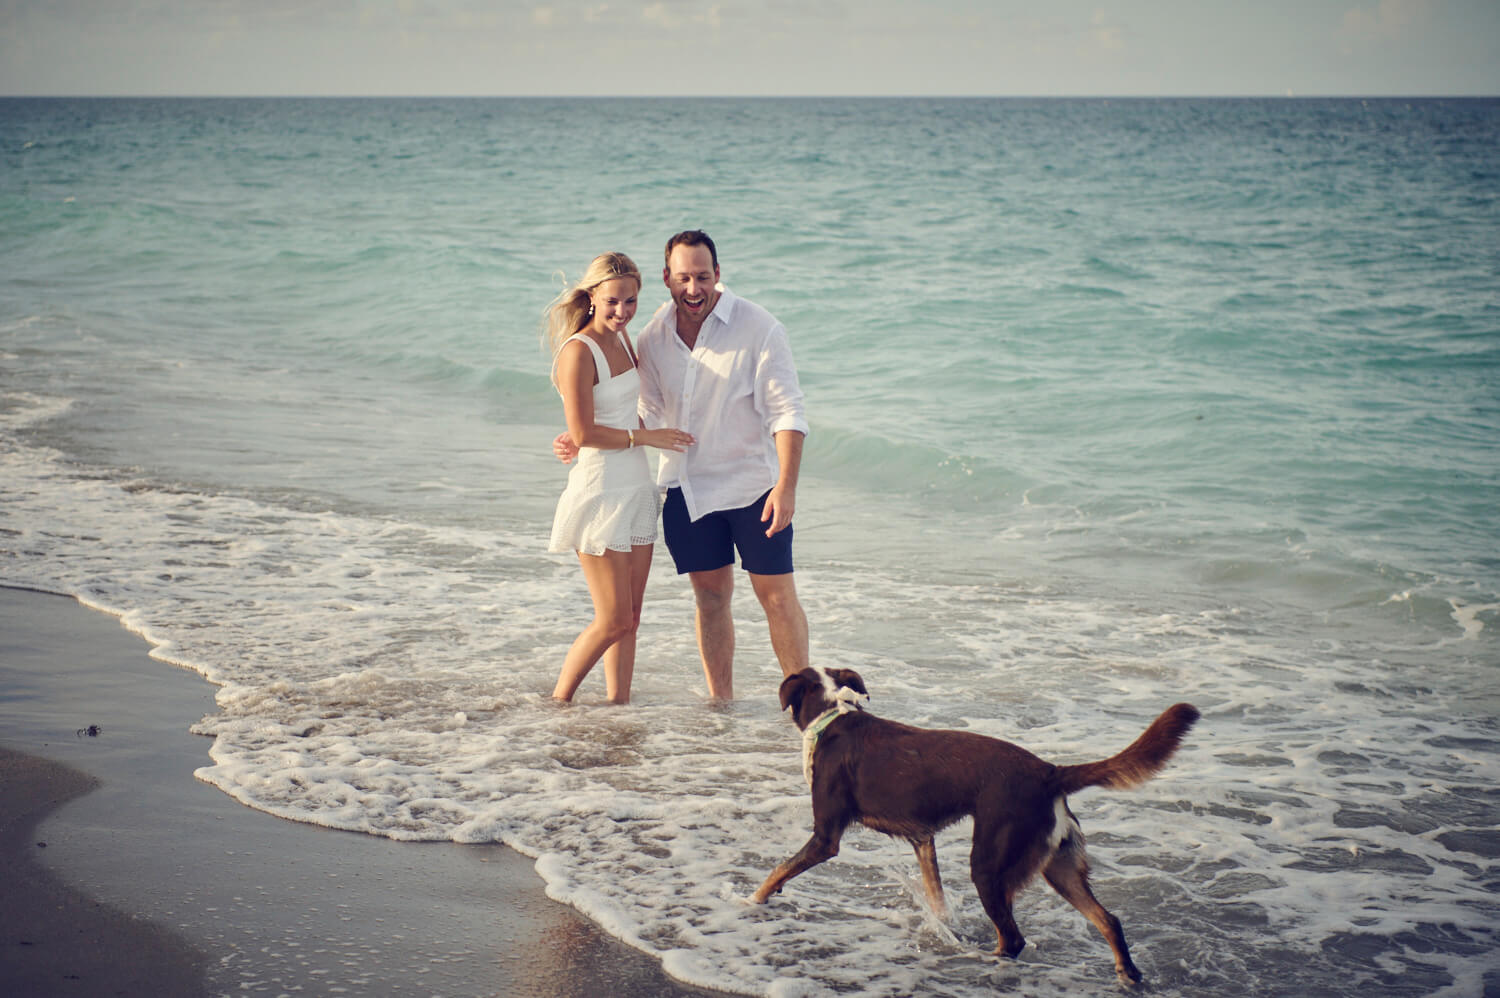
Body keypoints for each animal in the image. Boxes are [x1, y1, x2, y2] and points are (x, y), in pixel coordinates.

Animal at [756, 666, 1200, 984]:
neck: (833, 714)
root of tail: (1049, 772)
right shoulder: (922, 838)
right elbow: (935, 895)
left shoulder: (825, 837)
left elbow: (778, 869)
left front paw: (752, 900)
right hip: (1059, 868)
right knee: (1109, 920)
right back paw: (1128, 974)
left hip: (990, 864)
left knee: (1013, 938)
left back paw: (986, 962)